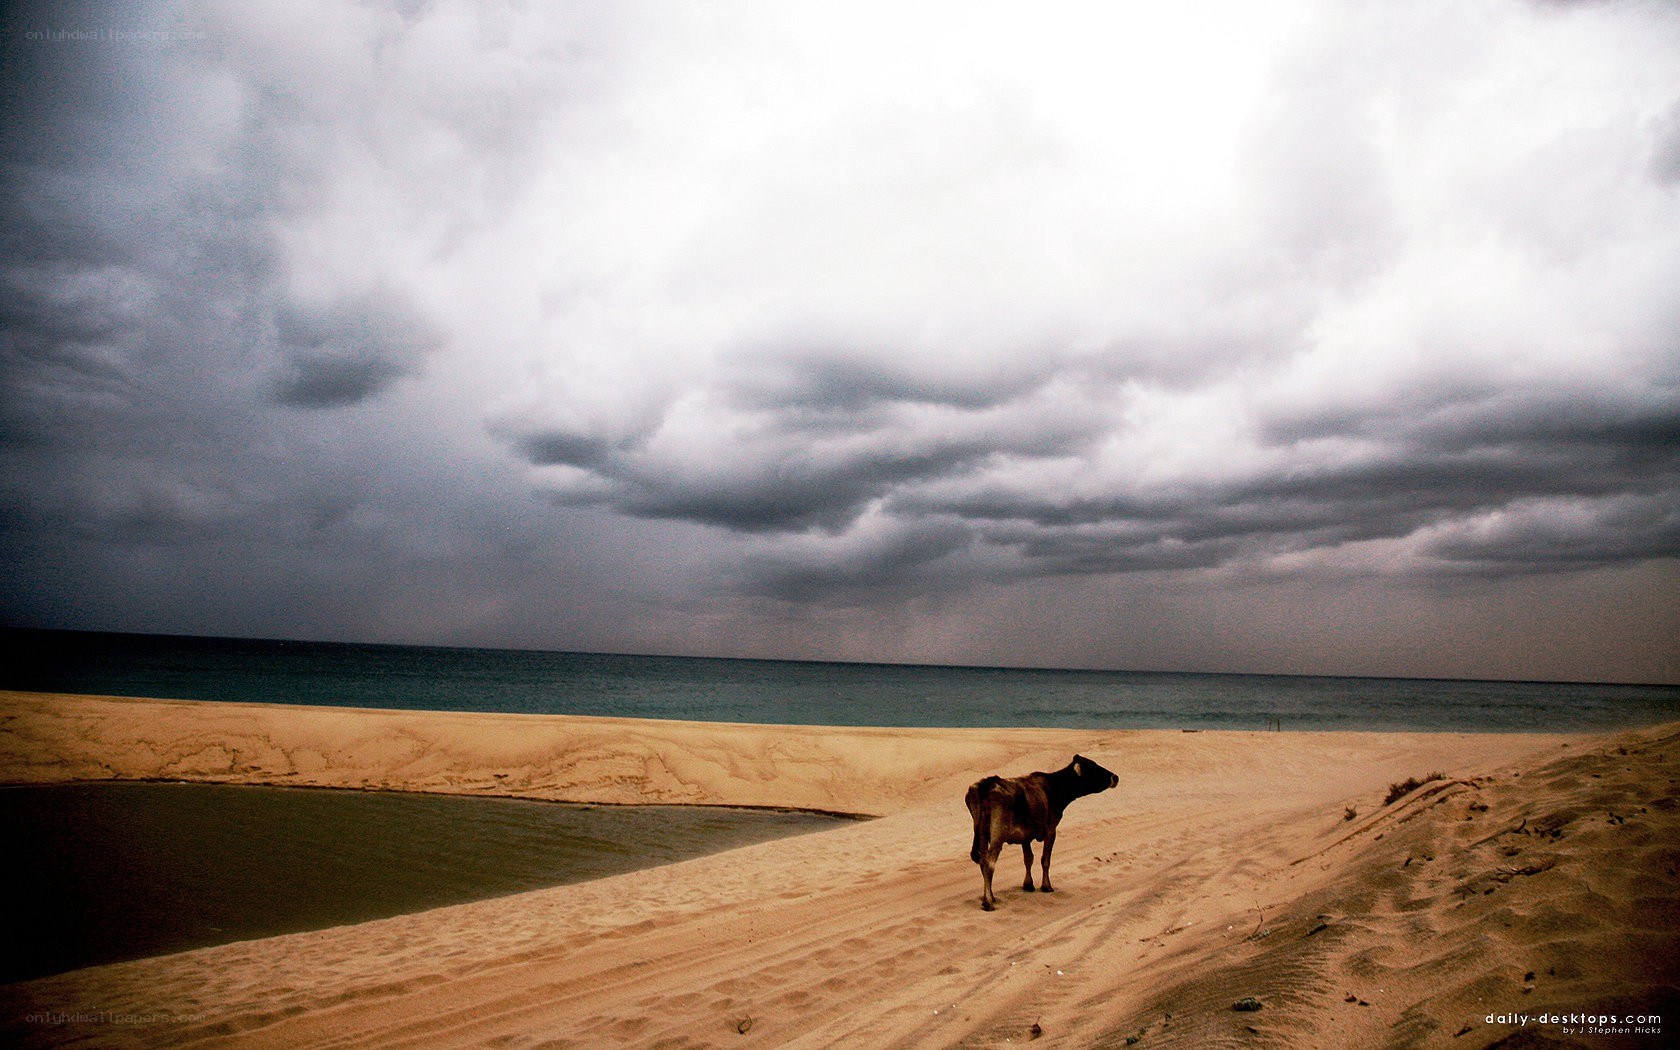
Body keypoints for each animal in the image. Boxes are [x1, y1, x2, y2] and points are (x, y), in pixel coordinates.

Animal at [965, 754, 1118, 911]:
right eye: (1093, 767)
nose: (1115, 777)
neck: (1055, 788)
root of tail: (985, 786)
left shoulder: (1025, 836)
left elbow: (1028, 859)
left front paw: (1028, 884)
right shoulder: (1051, 830)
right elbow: (1045, 860)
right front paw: (1046, 886)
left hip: (982, 834)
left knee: (983, 861)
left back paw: (990, 897)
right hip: (997, 836)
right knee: (989, 864)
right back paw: (988, 902)